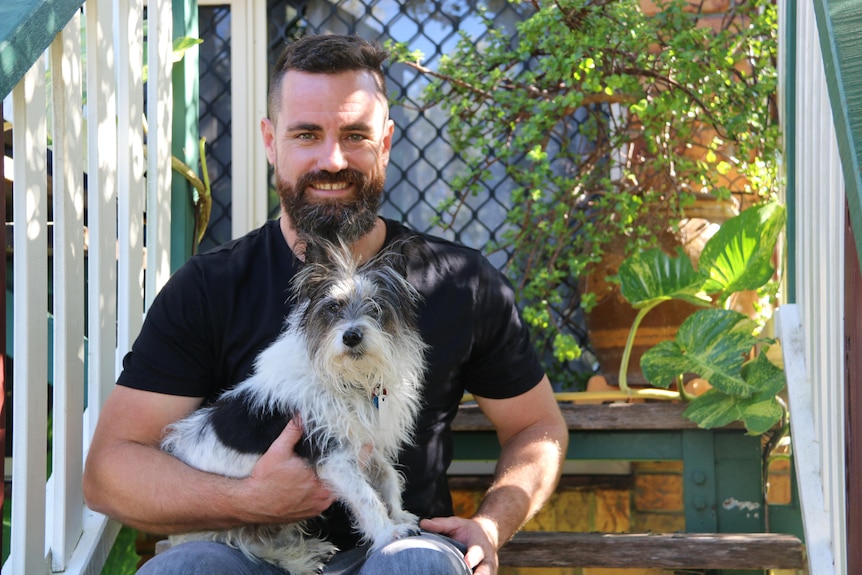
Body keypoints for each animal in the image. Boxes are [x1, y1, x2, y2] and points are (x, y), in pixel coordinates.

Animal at [161, 237, 428, 572]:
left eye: (376, 306)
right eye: (332, 307)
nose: (351, 336)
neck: (347, 378)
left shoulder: (366, 443)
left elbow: (388, 477)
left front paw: (399, 516)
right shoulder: (334, 457)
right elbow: (366, 496)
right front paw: (387, 533)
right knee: (252, 545)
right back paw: (300, 558)